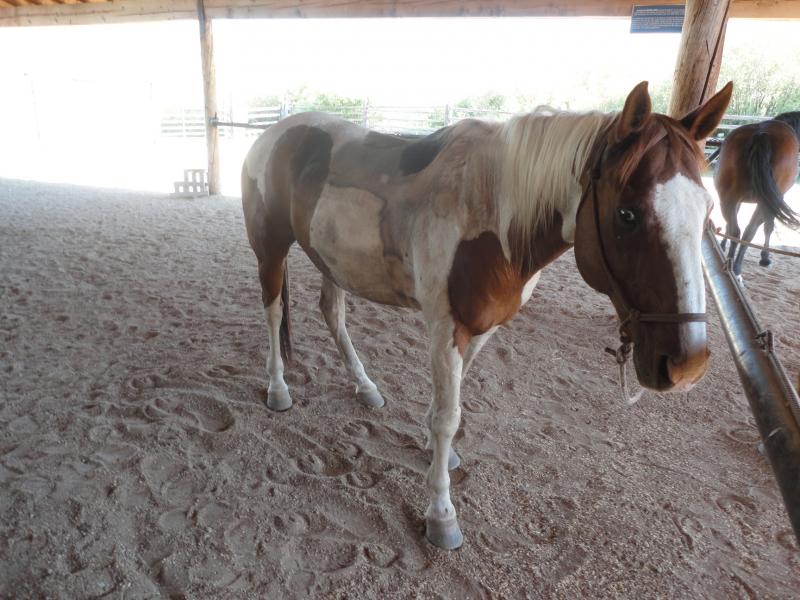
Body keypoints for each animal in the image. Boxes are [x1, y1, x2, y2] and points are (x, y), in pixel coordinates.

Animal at [241, 81, 732, 550]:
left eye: (708, 211)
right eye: (627, 214)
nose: (686, 366)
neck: (494, 214)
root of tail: (273, 134)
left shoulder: (481, 329)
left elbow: (450, 405)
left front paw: (435, 451)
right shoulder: (445, 327)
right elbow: (448, 417)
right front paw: (441, 515)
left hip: (333, 260)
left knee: (332, 313)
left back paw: (365, 387)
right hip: (270, 251)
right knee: (272, 313)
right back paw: (278, 389)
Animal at [714, 110, 800, 275]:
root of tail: (761, 135)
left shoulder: (737, 200)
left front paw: (722, 245)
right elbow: (768, 227)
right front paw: (765, 257)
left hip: (727, 199)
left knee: (736, 230)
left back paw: (730, 263)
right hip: (763, 202)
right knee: (749, 231)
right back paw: (736, 266)